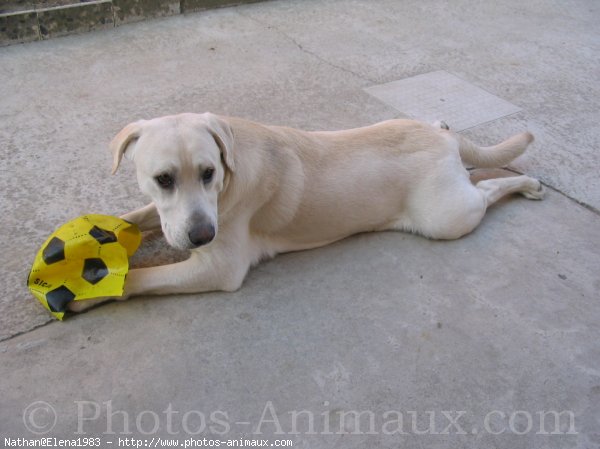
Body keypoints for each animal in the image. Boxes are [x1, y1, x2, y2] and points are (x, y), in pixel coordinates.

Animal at [65, 113, 544, 312]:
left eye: (208, 172)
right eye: (163, 179)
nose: (202, 236)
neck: (228, 179)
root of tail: (446, 140)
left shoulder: (218, 267)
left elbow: (139, 278)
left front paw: (87, 292)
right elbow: (132, 217)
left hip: (447, 216)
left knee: (487, 189)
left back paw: (528, 184)